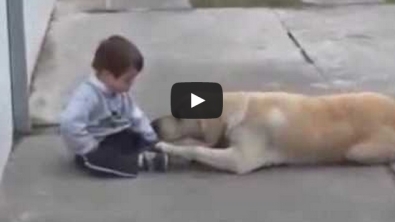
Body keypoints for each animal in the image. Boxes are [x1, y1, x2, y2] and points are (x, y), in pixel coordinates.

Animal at [151, 91, 395, 174]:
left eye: (179, 115)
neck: (237, 108)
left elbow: (197, 148)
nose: (153, 124)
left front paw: (168, 148)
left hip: (359, 152)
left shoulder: (241, 159)